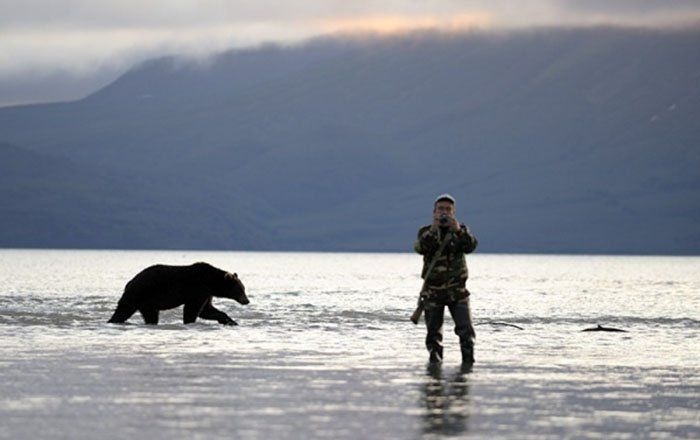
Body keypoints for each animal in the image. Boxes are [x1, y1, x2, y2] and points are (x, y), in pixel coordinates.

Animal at [108, 262, 250, 326]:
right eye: (240, 289)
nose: (246, 301)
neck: (213, 283)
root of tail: (129, 282)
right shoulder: (199, 289)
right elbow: (193, 309)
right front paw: (189, 321)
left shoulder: (207, 293)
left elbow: (207, 310)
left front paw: (230, 321)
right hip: (142, 293)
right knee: (125, 310)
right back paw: (113, 320)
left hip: (145, 301)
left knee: (146, 314)